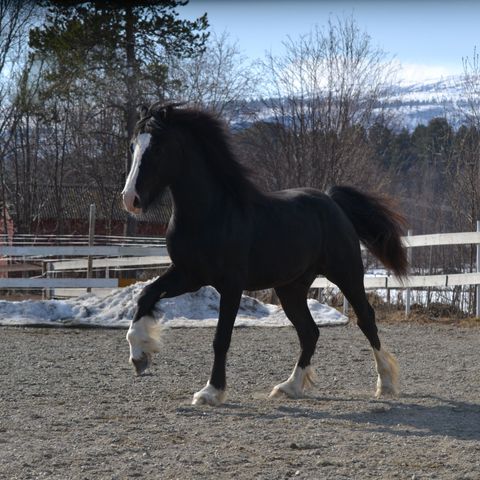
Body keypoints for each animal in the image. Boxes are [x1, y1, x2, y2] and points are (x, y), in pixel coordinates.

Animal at [122, 104, 406, 404]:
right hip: (291, 288)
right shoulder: (189, 275)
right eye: (133, 146)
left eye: (158, 148)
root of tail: (332, 201)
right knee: (310, 332)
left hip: (346, 274)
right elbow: (146, 295)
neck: (210, 215)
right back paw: (288, 387)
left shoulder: (231, 285)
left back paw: (385, 383)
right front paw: (140, 356)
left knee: (366, 320)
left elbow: (221, 339)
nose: (130, 199)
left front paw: (211, 391)